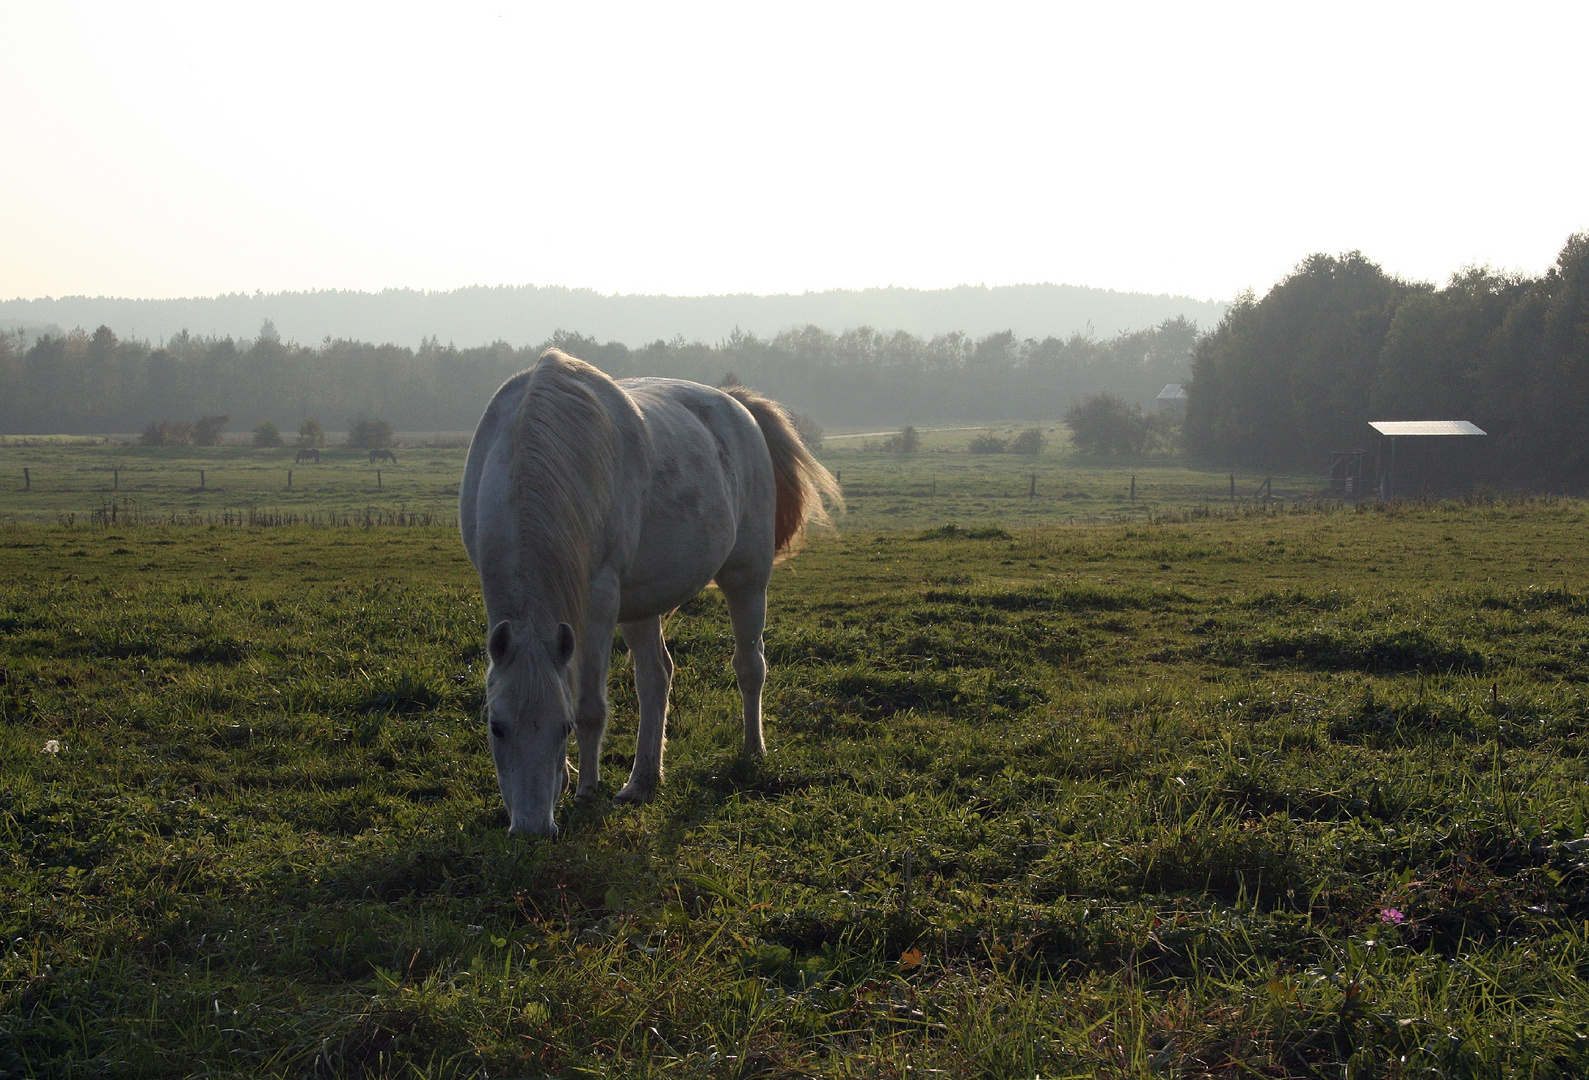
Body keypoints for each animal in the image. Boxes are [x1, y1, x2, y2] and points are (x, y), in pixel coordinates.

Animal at [457, 349, 838, 838]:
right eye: (497, 727)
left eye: (562, 729)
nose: (532, 829)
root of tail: (737, 405)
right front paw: (574, 779)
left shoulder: (598, 602)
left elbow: (591, 705)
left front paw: (585, 790)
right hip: (641, 604)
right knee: (657, 677)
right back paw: (642, 781)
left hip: (746, 579)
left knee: (750, 667)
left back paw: (753, 751)